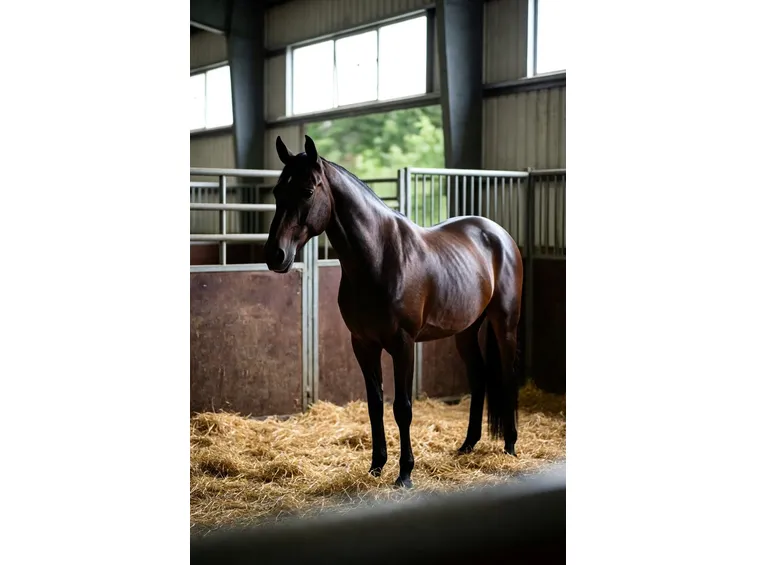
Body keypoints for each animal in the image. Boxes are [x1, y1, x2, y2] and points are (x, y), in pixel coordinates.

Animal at [264, 135, 523, 488]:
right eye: (278, 191)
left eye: (307, 190)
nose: (275, 255)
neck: (380, 258)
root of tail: (500, 235)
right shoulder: (363, 344)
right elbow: (375, 405)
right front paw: (376, 466)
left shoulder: (403, 345)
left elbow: (402, 408)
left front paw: (405, 474)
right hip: (466, 331)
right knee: (479, 376)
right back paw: (467, 445)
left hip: (504, 323)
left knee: (507, 376)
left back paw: (509, 445)